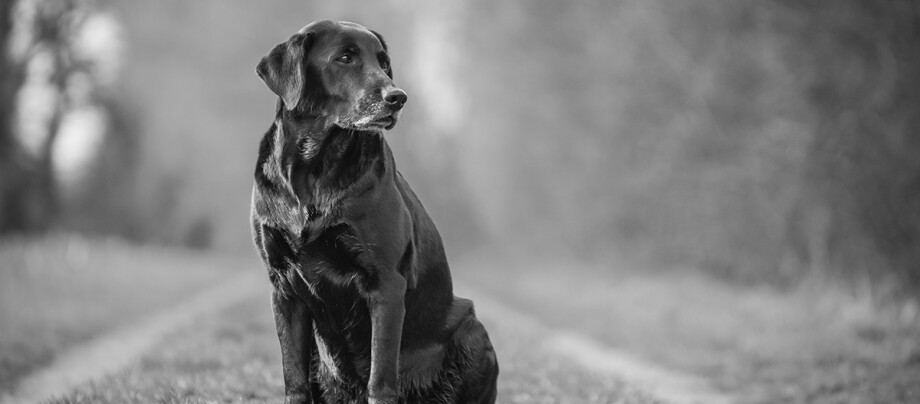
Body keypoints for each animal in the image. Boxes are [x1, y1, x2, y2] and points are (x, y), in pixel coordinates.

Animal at [250, 20, 496, 402]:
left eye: (384, 63)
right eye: (345, 58)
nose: (398, 97)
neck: (315, 166)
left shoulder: (385, 284)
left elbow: (380, 378)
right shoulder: (283, 287)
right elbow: (295, 379)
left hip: (472, 328)